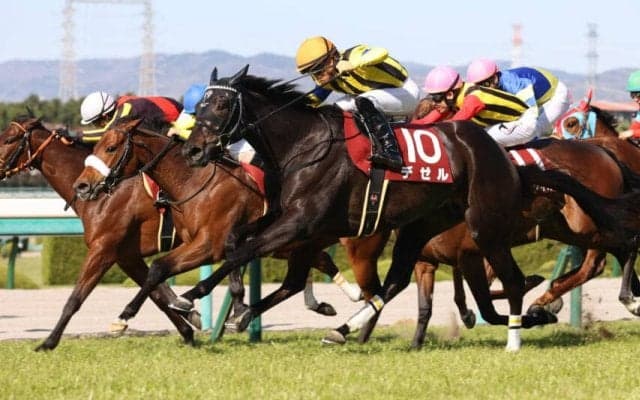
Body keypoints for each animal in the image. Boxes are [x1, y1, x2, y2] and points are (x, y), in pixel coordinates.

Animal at [169, 66, 638, 351]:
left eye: (222, 105)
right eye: (200, 105)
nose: (193, 150)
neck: (305, 146)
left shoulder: (301, 222)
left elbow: (245, 250)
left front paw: (189, 298)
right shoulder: (288, 219)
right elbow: (236, 243)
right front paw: (228, 308)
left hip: (498, 226)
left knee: (546, 270)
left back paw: (524, 331)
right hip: (425, 227)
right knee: (393, 283)